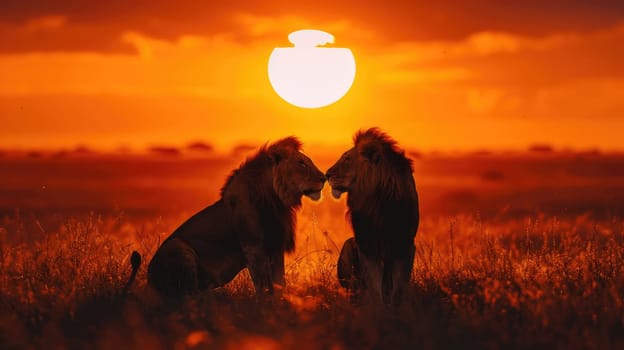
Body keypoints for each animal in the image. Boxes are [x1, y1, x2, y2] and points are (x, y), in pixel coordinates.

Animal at [148, 137, 326, 298]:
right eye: (301, 163)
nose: (324, 178)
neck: (276, 200)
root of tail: (149, 277)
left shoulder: (276, 245)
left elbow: (279, 283)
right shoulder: (253, 247)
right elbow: (263, 286)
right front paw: (266, 307)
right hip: (177, 246)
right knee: (189, 296)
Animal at [326, 128, 420, 306]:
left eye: (347, 158)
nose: (326, 174)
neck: (378, 199)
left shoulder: (404, 244)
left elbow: (399, 286)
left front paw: (398, 309)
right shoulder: (367, 244)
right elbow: (374, 285)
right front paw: (376, 309)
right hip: (348, 246)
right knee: (355, 289)